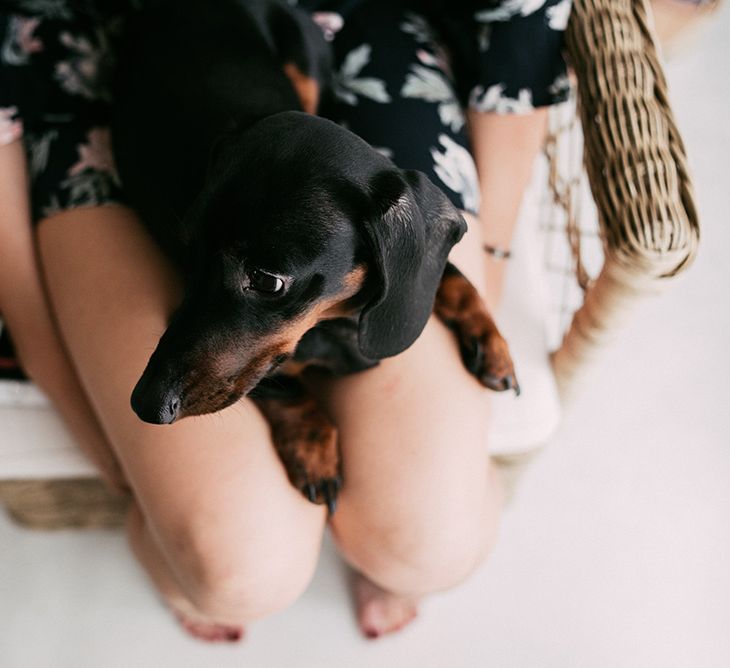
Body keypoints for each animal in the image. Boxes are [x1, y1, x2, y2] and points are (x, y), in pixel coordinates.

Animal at [111, 0, 516, 516]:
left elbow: (451, 277)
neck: (335, 318)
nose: (145, 403)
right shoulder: (254, 367)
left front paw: (491, 340)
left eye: (267, 280)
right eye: (187, 249)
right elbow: (281, 383)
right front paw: (313, 447)